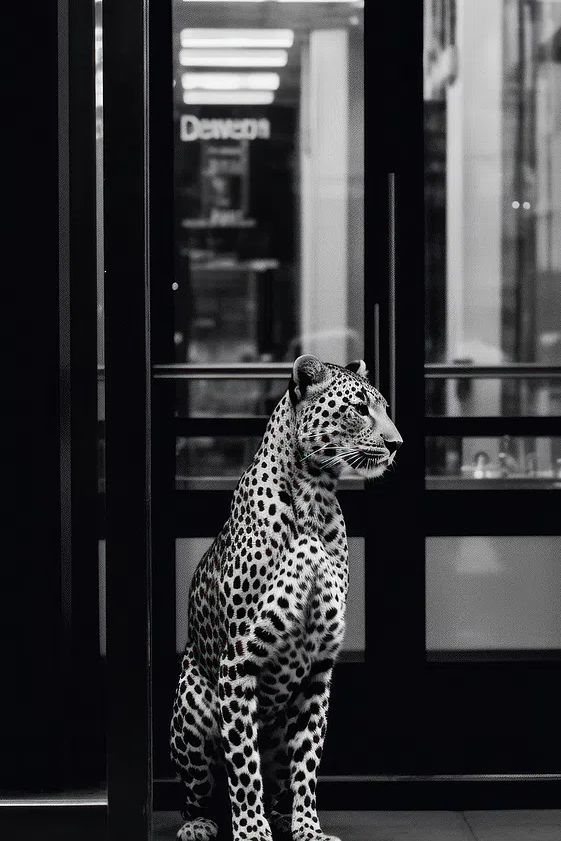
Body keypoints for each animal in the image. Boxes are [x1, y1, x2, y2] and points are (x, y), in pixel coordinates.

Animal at [170, 354, 403, 841]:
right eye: (359, 408)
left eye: (386, 409)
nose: (397, 444)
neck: (316, 497)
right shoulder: (239, 661)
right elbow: (243, 764)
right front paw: (251, 831)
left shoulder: (318, 668)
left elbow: (306, 763)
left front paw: (308, 829)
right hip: (191, 711)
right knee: (199, 792)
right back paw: (202, 823)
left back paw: (281, 817)